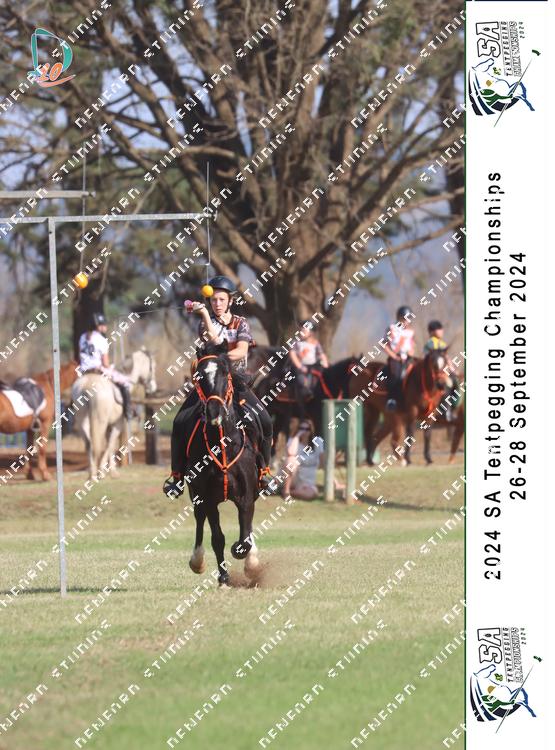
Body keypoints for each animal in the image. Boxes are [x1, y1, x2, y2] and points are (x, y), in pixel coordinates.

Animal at [72, 349, 156, 479]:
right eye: (153, 366)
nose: (153, 387)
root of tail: (87, 385)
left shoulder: (109, 426)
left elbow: (109, 444)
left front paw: (108, 469)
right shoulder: (118, 424)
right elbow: (110, 444)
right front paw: (109, 470)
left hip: (82, 422)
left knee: (88, 443)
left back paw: (92, 473)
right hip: (100, 422)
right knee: (96, 444)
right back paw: (96, 472)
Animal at [184, 342, 262, 585]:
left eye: (224, 373)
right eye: (199, 376)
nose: (214, 412)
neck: (224, 445)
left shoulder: (246, 496)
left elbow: (245, 537)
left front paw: (250, 562)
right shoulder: (208, 498)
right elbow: (217, 538)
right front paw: (224, 577)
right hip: (195, 494)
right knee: (199, 519)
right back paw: (197, 560)